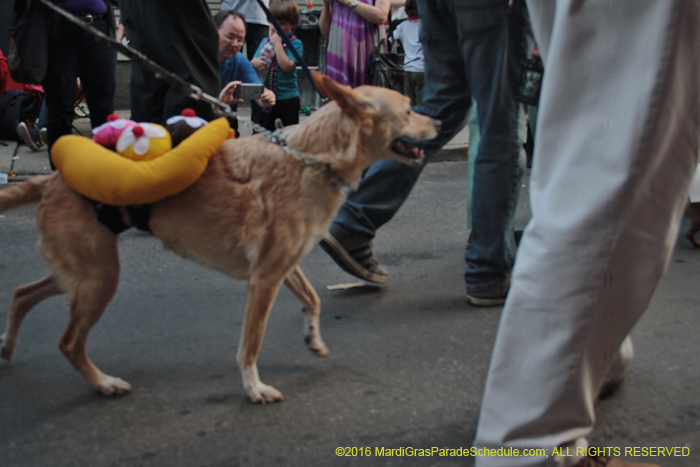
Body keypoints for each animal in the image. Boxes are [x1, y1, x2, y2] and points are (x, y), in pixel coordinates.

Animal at [0, 72, 438, 402]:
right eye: (408, 109)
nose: (436, 123)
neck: (309, 159)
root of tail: (51, 180)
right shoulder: (264, 279)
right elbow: (251, 343)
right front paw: (254, 388)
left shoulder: (282, 266)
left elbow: (312, 299)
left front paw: (313, 338)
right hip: (98, 278)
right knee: (68, 342)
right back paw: (103, 382)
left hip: (78, 274)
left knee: (22, 293)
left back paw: (7, 345)